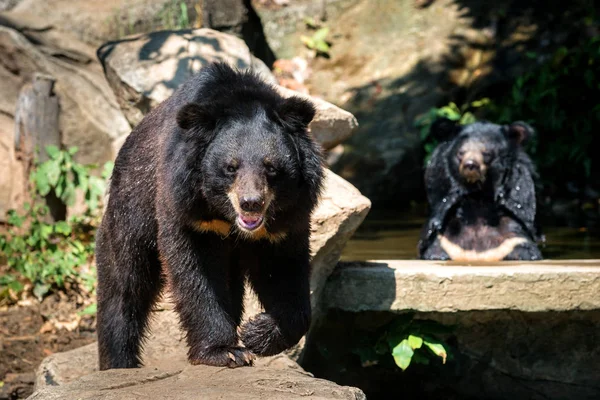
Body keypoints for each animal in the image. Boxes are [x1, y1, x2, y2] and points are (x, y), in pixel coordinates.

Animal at [96, 61, 324, 370]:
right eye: (230, 167)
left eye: (271, 167)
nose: (251, 204)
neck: (226, 217)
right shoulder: (186, 206)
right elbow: (195, 273)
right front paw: (225, 351)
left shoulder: (287, 219)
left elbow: (284, 271)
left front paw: (257, 333)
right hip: (133, 206)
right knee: (126, 282)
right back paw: (119, 362)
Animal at [418, 118, 544, 262]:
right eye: (461, 152)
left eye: (486, 153)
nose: (470, 165)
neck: (478, 197)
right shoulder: (446, 241)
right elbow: (435, 249)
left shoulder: (512, 238)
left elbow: (524, 247)